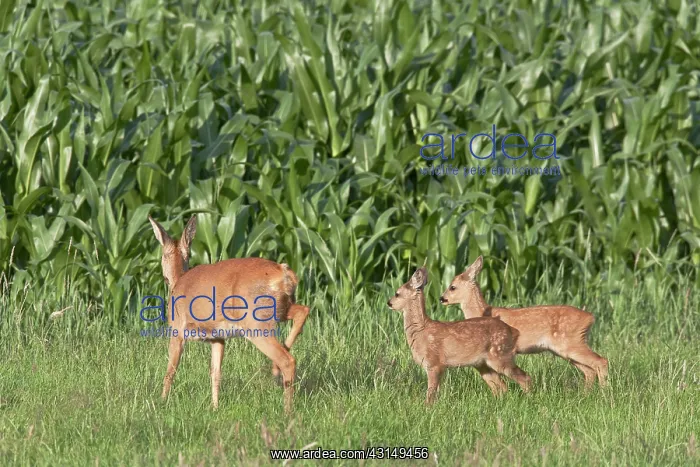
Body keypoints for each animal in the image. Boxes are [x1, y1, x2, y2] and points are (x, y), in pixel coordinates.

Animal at [147, 214, 310, 412]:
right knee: (303, 311)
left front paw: (161, 402)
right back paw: (276, 367)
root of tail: (285, 274)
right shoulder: (218, 337)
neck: (178, 280)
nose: (163, 276)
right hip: (281, 308)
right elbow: (215, 372)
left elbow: (170, 369)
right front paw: (214, 407)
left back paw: (287, 409)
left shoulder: (177, 329)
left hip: (256, 322)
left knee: (288, 360)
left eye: (162, 254)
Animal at [387, 267, 531, 404]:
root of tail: (514, 331)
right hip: (483, 364)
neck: (421, 330)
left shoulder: (434, 363)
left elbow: (430, 393)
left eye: (397, 293)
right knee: (502, 387)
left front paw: (426, 408)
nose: (388, 303)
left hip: (501, 356)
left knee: (525, 378)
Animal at [440, 256, 608, 388]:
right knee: (589, 370)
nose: (442, 298)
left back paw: (604, 395)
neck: (483, 311)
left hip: (571, 342)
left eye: (452, 287)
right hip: (566, 348)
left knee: (601, 361)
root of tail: (590, 317)